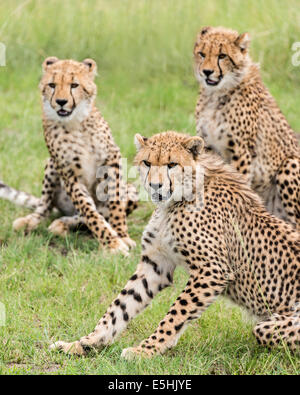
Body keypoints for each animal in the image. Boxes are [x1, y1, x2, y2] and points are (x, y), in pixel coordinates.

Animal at [9, 58, 138, 256]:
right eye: (52, 85)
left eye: (74, 85)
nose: (61, 101)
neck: (75, 124)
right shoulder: (70, 174)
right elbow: (88, 210)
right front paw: (112, 243)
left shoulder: (112, 159)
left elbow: (115, 204)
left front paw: (122, 235)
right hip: (51, 166)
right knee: (46, 207)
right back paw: (32, 221)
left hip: (131, 190)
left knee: (89, 215)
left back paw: (62, 224)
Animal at [51, 131, 300, 358]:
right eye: (147, 162)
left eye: (172, 164)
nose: (155, 186)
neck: (176, 201)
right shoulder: (155, 264)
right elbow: (120, 306)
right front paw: (84, 343)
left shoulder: (212, 271)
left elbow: (176, 314)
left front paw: (146, 350)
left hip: (273, 323)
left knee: (261, 331)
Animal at [193, 27, 298, 232]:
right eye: (202, 54)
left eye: (222, 56)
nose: (207, 72)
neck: (215, 95)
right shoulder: (208, 148)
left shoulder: (240, 151)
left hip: (290, 163)